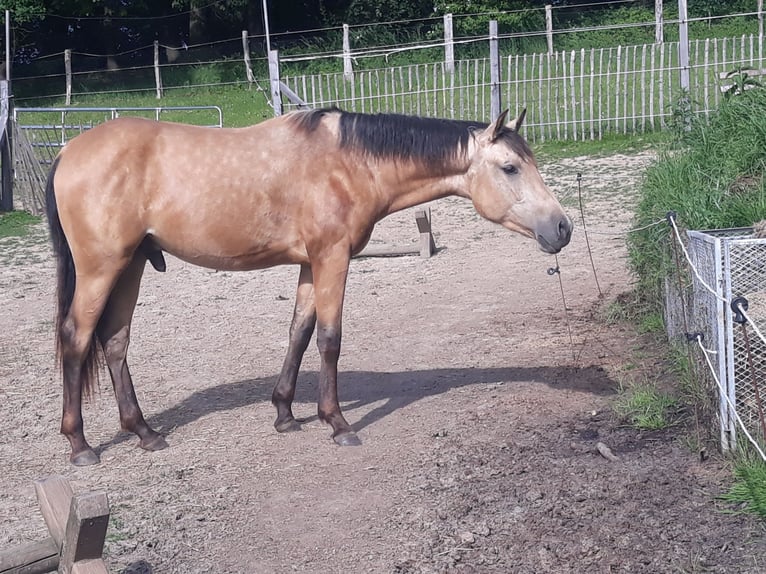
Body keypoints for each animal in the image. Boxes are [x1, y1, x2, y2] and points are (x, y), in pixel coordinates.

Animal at [45, 106, 572, 465]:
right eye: (509, 167)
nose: (562, 228)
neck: (348, 163)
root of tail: (69, 150)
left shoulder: (308, 264)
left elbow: (298, 333)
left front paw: (284, 414)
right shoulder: (332, 258)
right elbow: (329, 339)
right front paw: (336, 422)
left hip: (130, 265)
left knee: (115, 341)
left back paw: (144, 432)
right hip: (102, 267)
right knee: (76, 337)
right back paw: (80, 444)